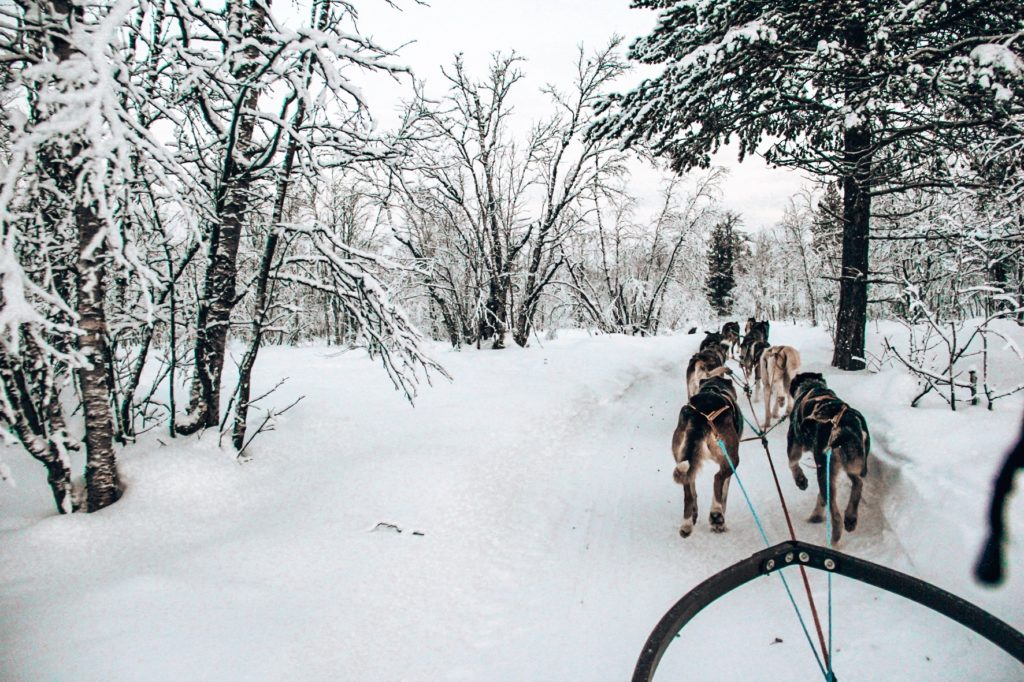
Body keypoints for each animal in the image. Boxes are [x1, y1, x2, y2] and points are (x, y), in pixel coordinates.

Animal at [671, 366, 745, 536]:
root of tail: (702, 414)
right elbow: (724, 492)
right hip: (732, 458)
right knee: (717, 478)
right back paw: (716, 514)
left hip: (681, 457)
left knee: (688, 490)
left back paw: (687, 524)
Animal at [782, 372, 872, 540]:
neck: (812, 386)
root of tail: (844, 428)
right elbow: (822, 497)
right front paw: (817, 514)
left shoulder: (794, 444)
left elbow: (792, 463)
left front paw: (801, 480)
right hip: (851, 463)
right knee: (858, 482)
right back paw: (850, 517)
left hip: (825, 467)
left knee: (836, 515)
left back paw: (835, 537)